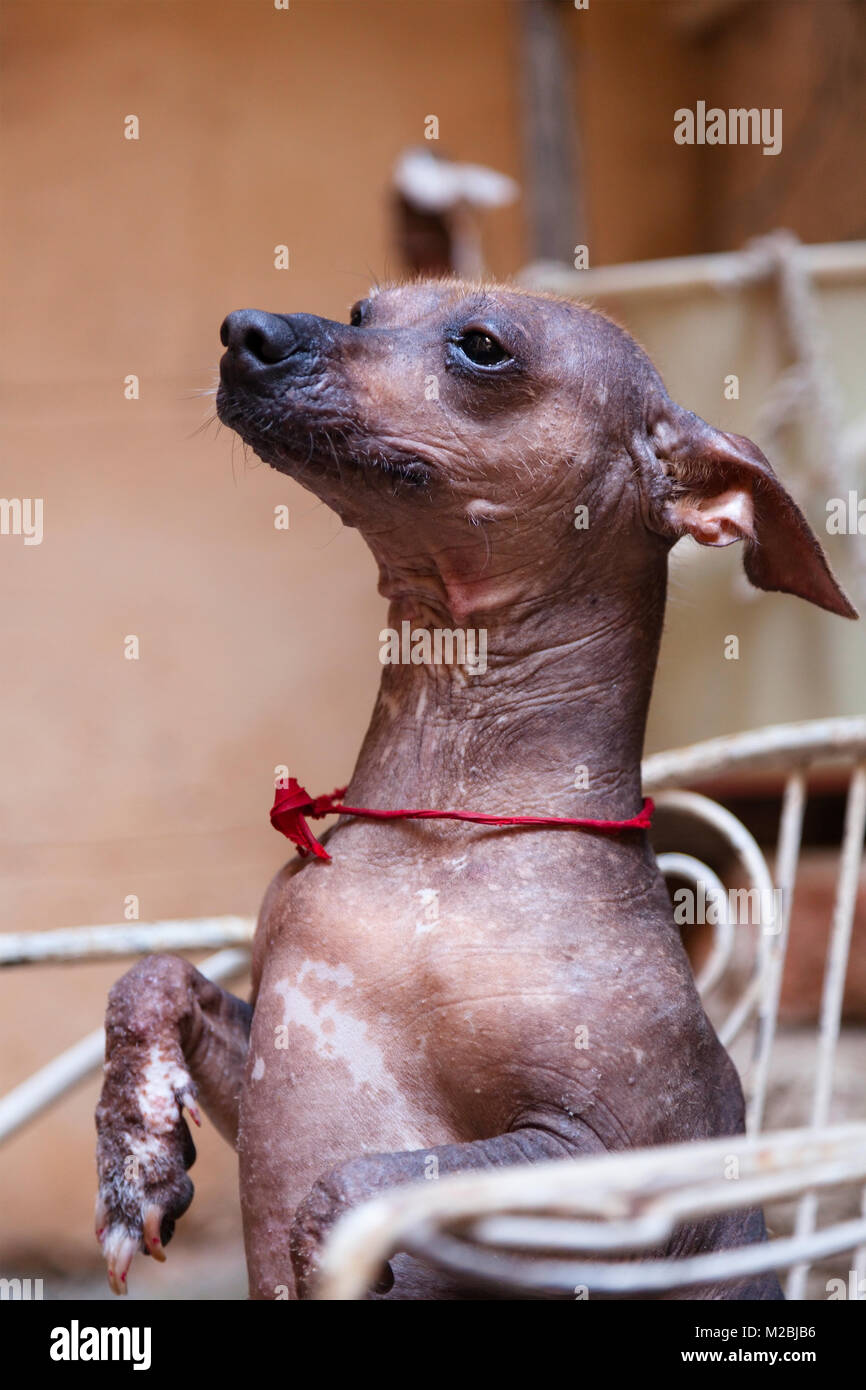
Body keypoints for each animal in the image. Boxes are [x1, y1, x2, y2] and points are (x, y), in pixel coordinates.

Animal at [93, 276, 856, 1295]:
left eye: (484, 348)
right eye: (366, 310)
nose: (247, 331)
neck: (439, 831)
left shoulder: (618, 1172)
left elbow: (355, 1185)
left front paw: (337, 1258)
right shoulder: (265, 1062)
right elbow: (150, 978)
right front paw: (136, 1153)